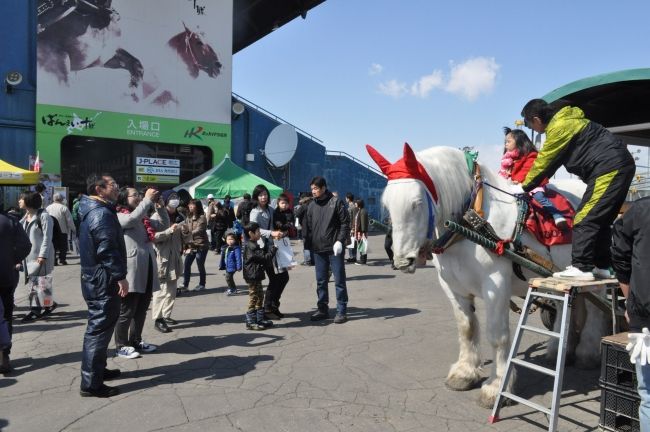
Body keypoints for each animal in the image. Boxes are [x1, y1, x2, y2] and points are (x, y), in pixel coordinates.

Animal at [368, 144, 604, 408]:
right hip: (554, 276)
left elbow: (497, 335)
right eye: (387, 205)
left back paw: (587, 352)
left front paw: (497, 387)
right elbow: (466, 328)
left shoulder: (496, 286)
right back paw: (557, 350)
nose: (402, 261)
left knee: (597, 308)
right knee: (565, 308)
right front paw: (464, 373)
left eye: (417, 203)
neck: (470, 223)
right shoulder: (454, 287)